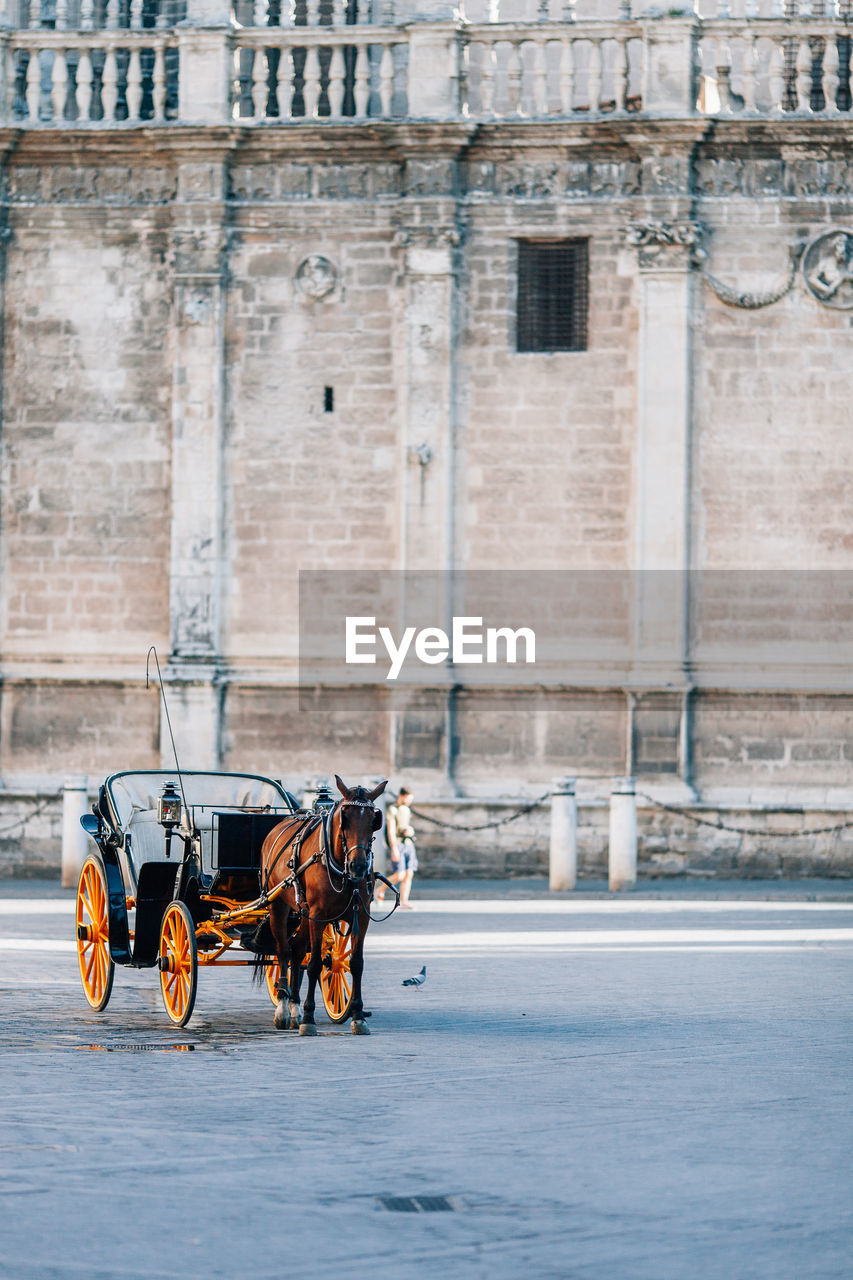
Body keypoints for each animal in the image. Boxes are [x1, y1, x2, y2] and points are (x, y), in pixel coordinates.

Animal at [257, 773, 386, 1034]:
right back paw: (284, 1008)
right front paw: (308, 1018)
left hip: (304, 915)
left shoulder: (361, 916)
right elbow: (315, 964)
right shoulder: (318, 916)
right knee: (283, 950)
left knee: (296, 950)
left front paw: (358, 1015)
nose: (358, 866)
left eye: (373, 821)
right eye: (344, 819)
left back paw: (294, 1007)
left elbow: (356, 963)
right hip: (279, 906)